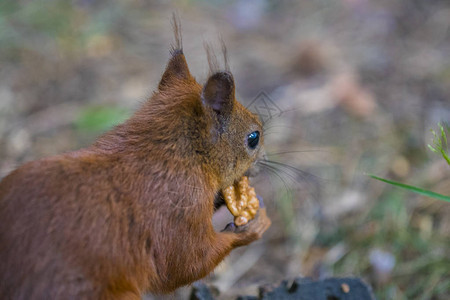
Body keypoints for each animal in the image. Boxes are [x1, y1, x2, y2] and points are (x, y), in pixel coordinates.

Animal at [0, 17, 270, 300]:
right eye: (253, 138)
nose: (264, 161)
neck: (175, 153)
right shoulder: (177, 213)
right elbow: (186, 263)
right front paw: (254, 226)